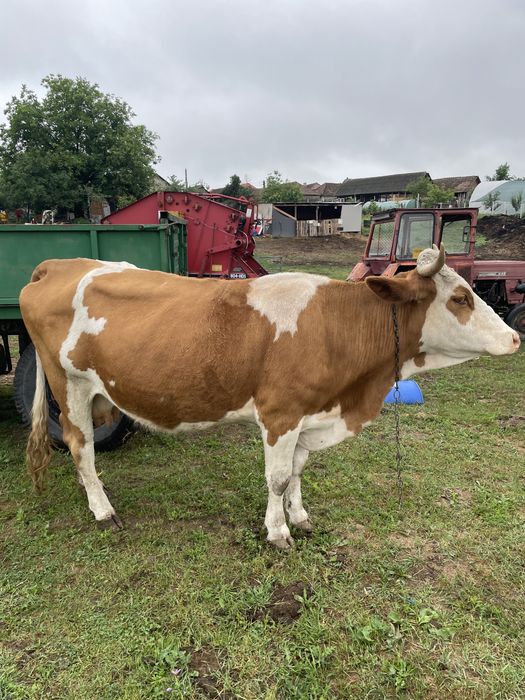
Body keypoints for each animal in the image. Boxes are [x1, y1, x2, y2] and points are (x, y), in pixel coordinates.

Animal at [20, 245, 520, 549]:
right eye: (460, 298)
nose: (515, 337)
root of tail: (59, 264)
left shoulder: (309, 415)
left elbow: (297, 472)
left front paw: (298, 516)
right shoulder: (281, 414)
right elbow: (277, 478)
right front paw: (278, 531)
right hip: (70, 385)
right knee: (81, 446)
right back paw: (102, 509)